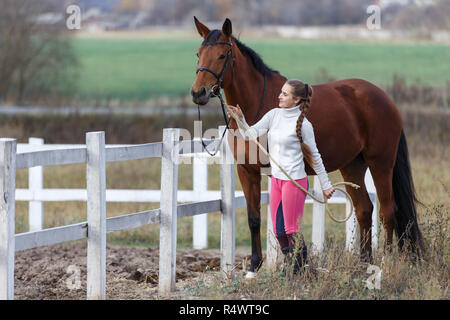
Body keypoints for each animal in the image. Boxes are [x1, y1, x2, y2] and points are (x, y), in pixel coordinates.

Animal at [190, 16, 422, 272]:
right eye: (198, 54)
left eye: (222, 55)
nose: (198, 92)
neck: (256, 107)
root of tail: (385, 99)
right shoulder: (247, 171)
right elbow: (255, 217)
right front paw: (255, 265)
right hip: (353, 165)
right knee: (364, 210)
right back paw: (363, 263)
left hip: (381, 164)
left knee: (388, 212)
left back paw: (384, 263)